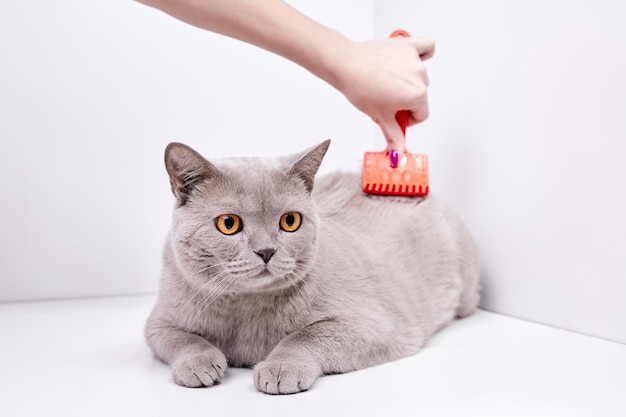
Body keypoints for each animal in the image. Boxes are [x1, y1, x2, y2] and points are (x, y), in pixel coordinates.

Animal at [145, 140, 478, 394]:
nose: (266, 251)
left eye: (290, 221)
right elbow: (184, 339)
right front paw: (199, 364)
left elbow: (305, 336)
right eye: (229, 224)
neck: (244, 311)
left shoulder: (373, 325)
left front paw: (281, 368)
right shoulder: (159, 322)